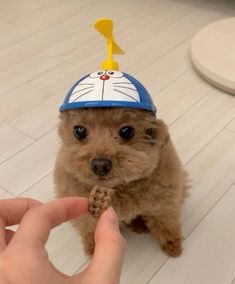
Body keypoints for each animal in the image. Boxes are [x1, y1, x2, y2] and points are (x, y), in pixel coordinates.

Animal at [54, 107, 188, 258]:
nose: (100, 165)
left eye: (126, 131)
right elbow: (89, 227)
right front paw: (93, 247)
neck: (118, 187)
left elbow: (165, 221)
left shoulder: (164, 199)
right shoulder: (84, 211)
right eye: (79, 131)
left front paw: (172, 243)